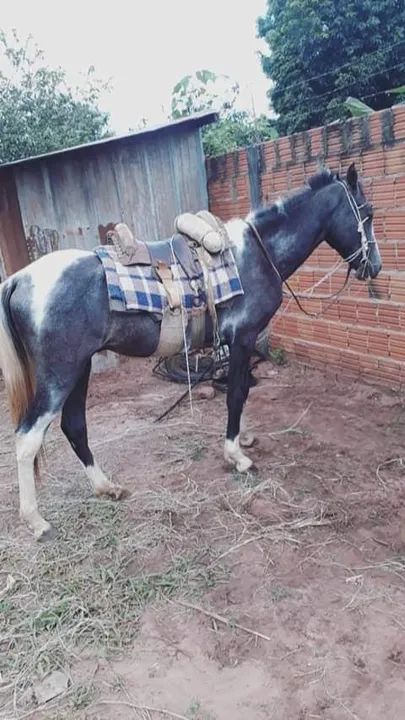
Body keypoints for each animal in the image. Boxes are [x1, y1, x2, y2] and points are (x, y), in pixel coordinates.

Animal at [0, 163, 381, 540]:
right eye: (367, 213)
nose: (374, 266)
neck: (257, 254)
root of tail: (19, 279)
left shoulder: (234, 344)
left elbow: (239, 390)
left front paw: (243, 439)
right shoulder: (243, 339)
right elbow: (237, 394)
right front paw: (236, 455)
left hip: (80, 369)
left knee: (74, 426)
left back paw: (107, 487)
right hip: (60, 375)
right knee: (28, 438)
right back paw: (37, 521)